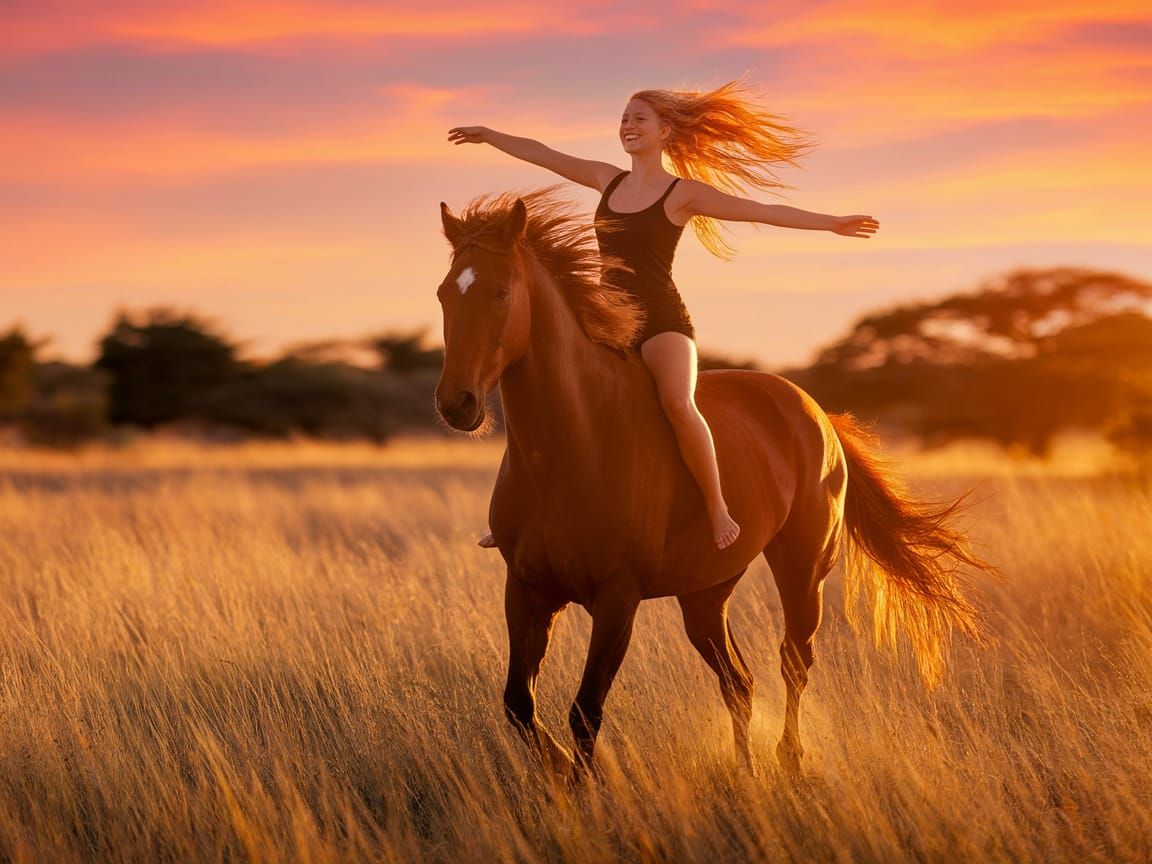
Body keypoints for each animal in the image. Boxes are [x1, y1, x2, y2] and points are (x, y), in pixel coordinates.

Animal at [433, 187, 990, 778]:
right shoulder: (526, 588)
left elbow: (584, 713)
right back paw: (746, 772)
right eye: (444, 294)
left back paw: (788, 761)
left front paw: (580, 785)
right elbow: (519, 704)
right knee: (739, 683)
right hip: (705, 596)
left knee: (794, 662)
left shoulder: (617, 599)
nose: (456, 404)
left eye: (501, 292)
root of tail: (817, 413)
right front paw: (558, 772)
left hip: (803, 572)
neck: (571, 447)